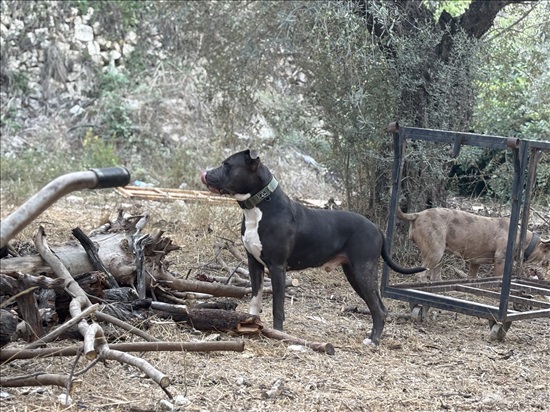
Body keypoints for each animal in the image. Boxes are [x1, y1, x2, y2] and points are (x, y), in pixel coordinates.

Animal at [201, 149, 424, 344]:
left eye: (227, 165)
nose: (205, 173)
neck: (259, 207)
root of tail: (377, 228)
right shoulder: (254, 263)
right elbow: (255, 299)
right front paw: (250, 324)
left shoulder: (277, 267)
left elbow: (278, 306)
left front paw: (278, 333)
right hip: (354, 273)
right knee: (378, 307)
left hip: (364, 271)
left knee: (378, 308)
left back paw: (373, 340)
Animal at [398, 206, 548, 280]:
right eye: (546, 262)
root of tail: (417, 214)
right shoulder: (500, 259)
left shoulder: (475, 263)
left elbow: (472, 276)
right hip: (435, 252)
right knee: (420, 275)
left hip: (438, 257)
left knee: (435, 277)